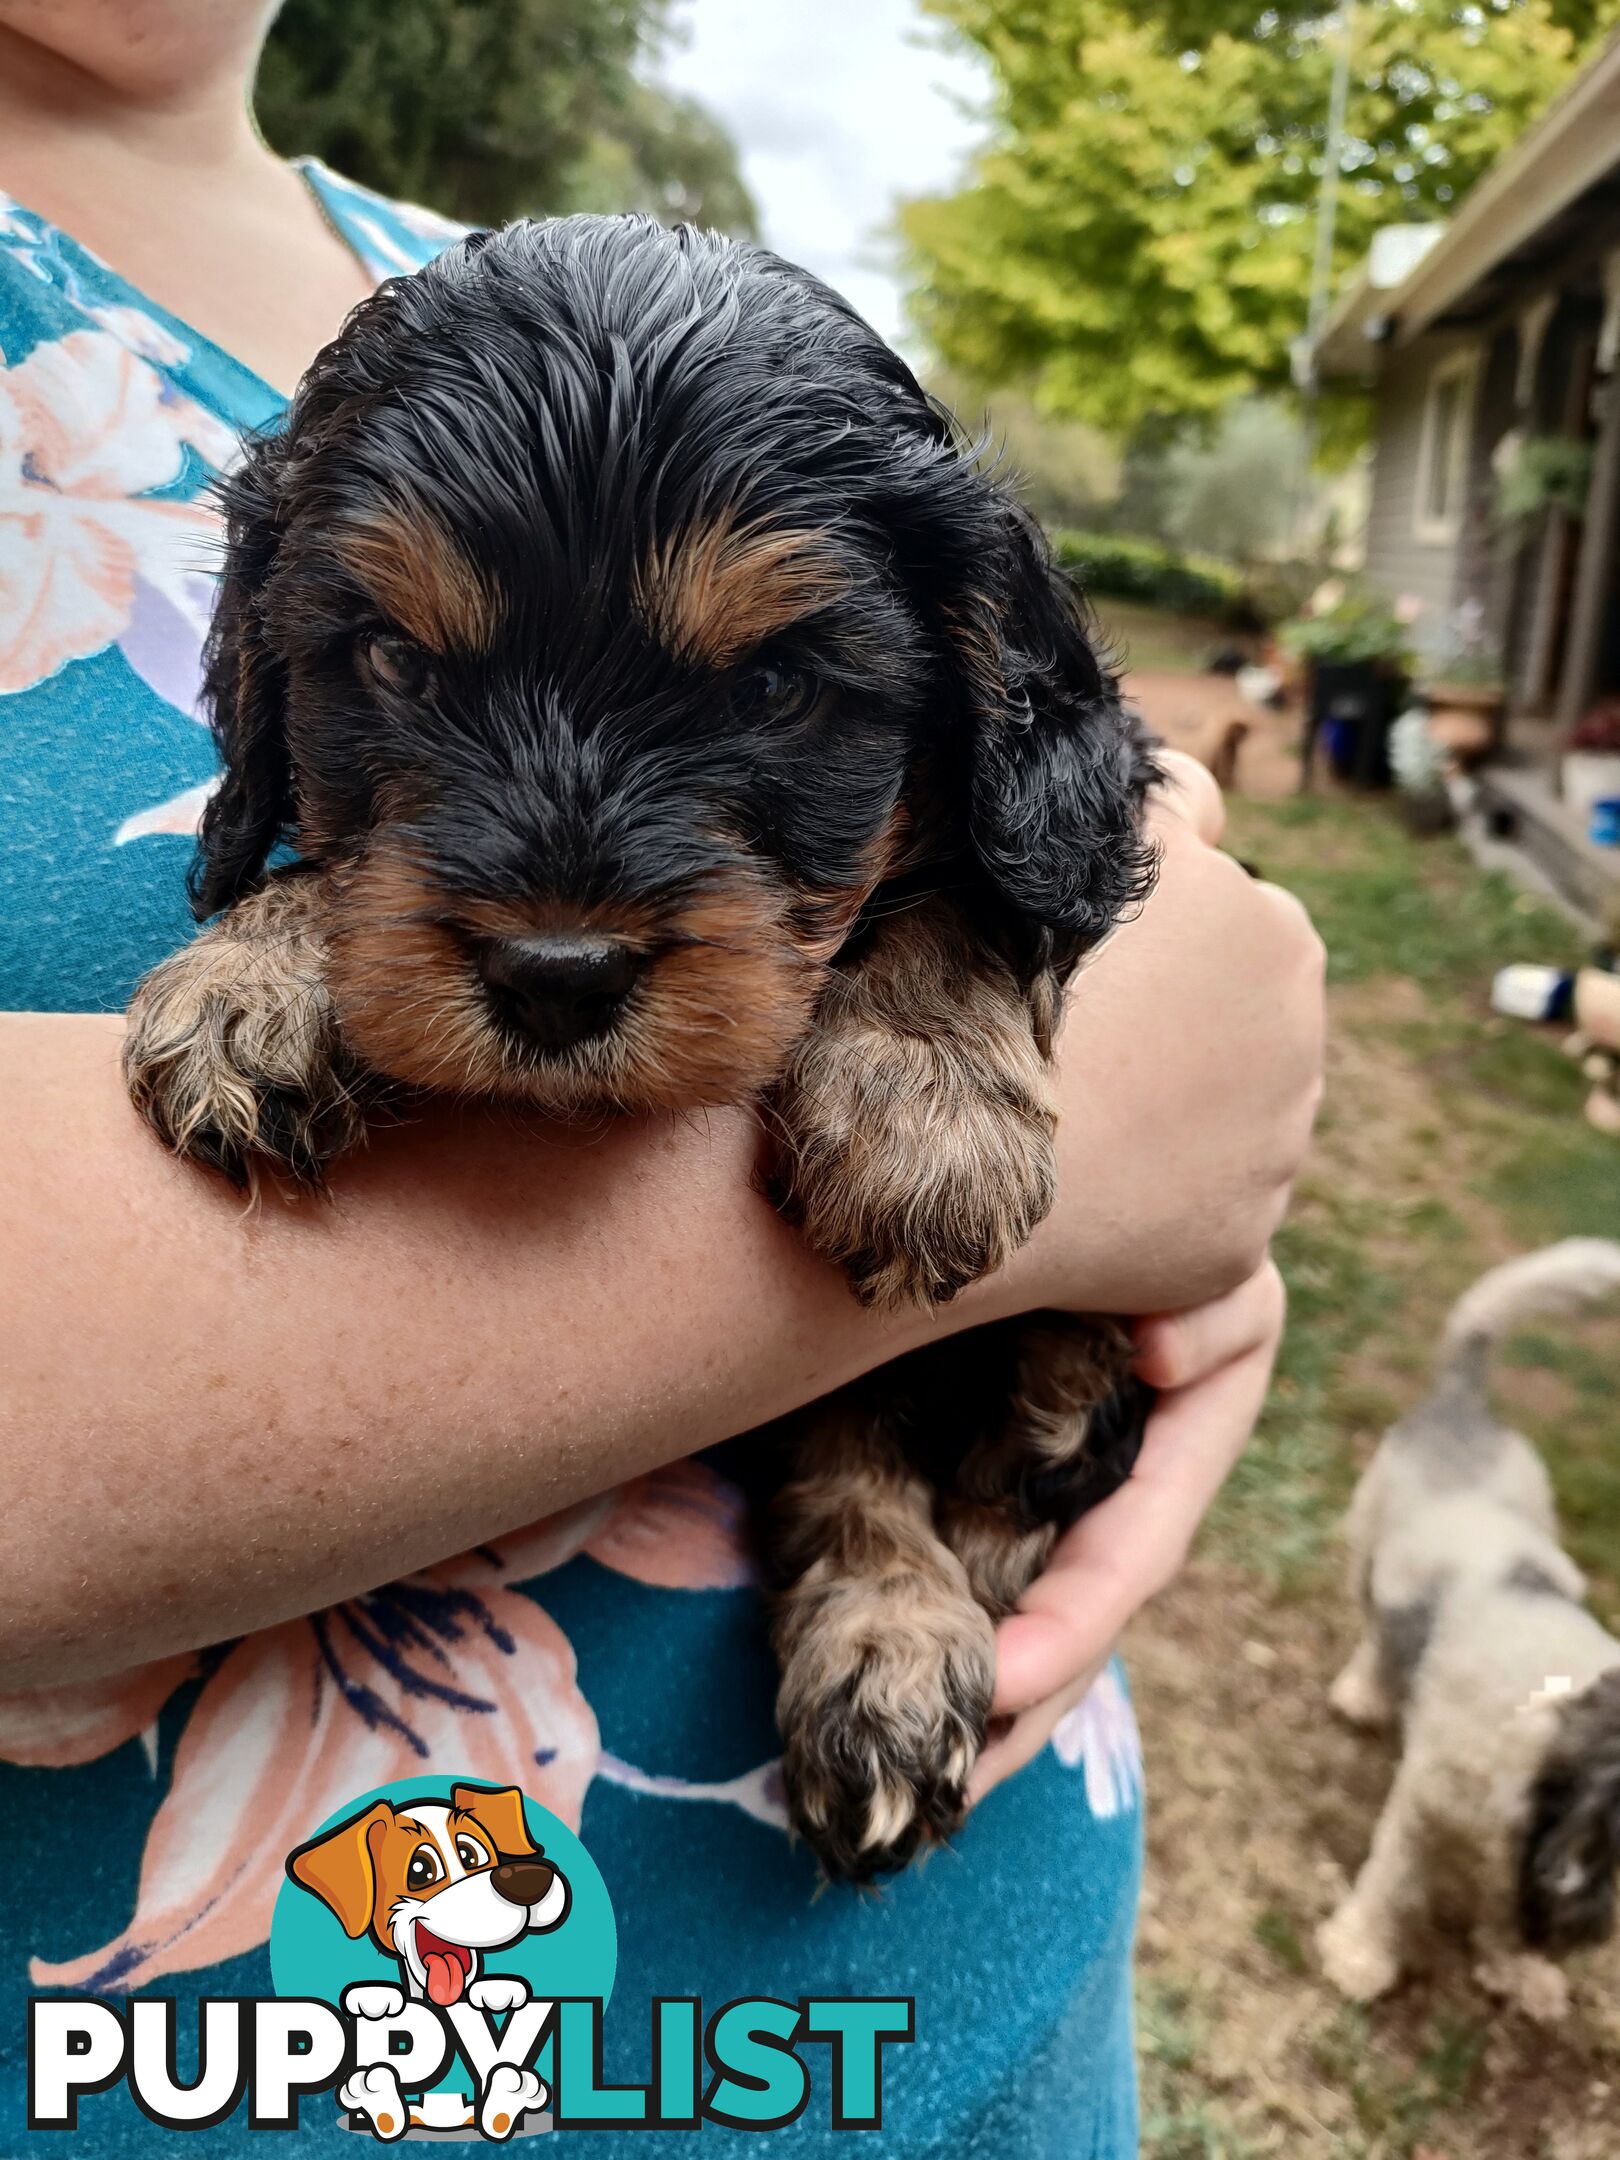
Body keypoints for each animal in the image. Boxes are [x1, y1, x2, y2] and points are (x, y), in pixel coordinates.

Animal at [133, 210, 1157, 1883]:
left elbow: (964, 899)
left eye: (776, 688)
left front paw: (928, 1108)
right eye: (394, 666)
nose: (558, 976)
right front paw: (257, 973)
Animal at [1321, 1244, 1620, 2013]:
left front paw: (1519, 1972)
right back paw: (1364, 1693)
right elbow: (1392, 1884)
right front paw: (1357, 1956)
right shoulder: (1425, 1808)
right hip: (1365, 1550)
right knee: (1374, 1635)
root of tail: (1464, 1405)